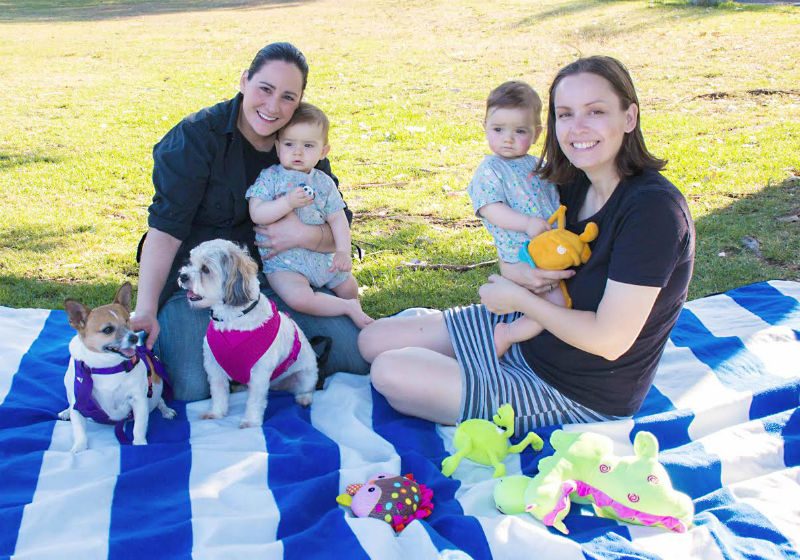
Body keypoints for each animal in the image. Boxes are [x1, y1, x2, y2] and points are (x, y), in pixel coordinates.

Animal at [60, 282, 176, 452]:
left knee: (160, 401)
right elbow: (79, 430)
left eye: (128, 321)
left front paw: (140, 444)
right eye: (108, 330)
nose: (134, 338)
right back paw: (66, 411)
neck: (107, 367)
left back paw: (166, 410)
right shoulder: (78, 402)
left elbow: (139, 427)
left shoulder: (138, 400)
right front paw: (79, 448)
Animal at [178, 238, 318, 426]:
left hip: (306, 375)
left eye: (205, 269)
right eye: (191, 262)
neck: (232, 320)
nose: (183, 276)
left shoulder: (259, 373)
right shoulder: (214, 367)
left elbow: (255, 400)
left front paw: (250, 422)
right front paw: (216, 413)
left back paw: (304, 399)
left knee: (306, 389)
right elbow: (219, 392)